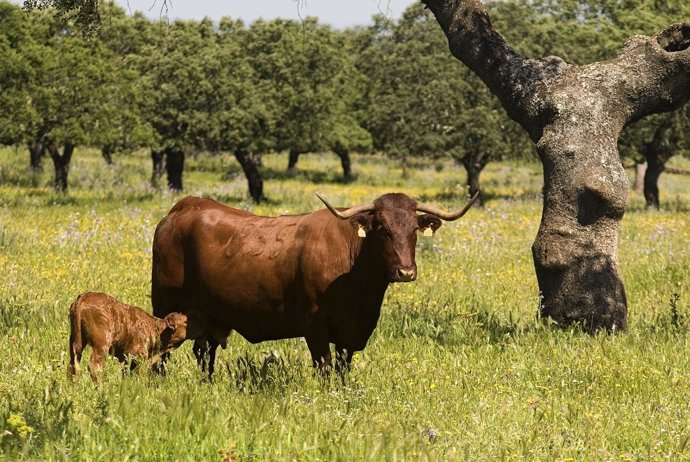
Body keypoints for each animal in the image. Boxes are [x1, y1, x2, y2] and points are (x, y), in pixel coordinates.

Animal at [68, 292, 199, 378]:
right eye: (185, 321)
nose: (201, 323)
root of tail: (84, 297)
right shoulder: (138, 357)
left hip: (75, 341)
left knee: (73, 364)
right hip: (101, 345)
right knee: (95, 366)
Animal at [150, 191, 472, 376]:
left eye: (414, 228)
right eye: (382, 227)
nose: (406, 271)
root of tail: (182, 208)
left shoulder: (350, 334)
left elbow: (342, 370)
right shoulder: (314, 326)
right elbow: (325, 368)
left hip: (210, 317)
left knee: (205, 354)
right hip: (165, 308)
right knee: (162, 354)